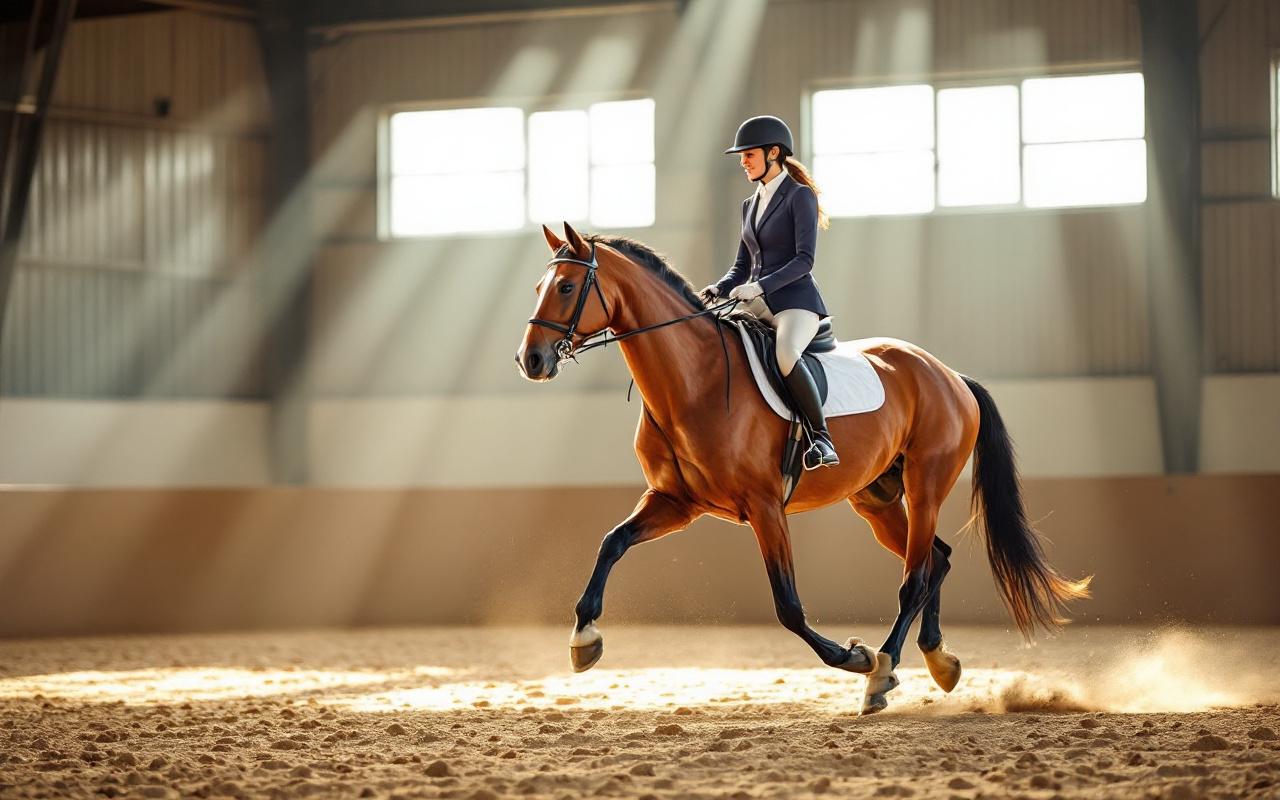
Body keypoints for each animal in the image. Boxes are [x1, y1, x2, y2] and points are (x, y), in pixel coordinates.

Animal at [515, 222, 1090, 715]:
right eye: (539, 284)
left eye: (566, 287)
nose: (531, 360)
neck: (694, 381)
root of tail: (948, 374)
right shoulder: (675, 503)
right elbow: (611, 542)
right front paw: (584, 640)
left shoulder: (766, 507)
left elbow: (788, 606)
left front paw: (853, 657)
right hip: (877, 499)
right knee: (936, 560)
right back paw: (938, 661)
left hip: (926, 484)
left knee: (916, 575)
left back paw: (881, 673)